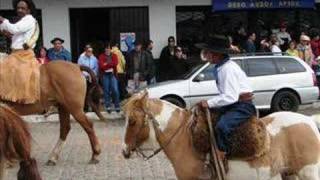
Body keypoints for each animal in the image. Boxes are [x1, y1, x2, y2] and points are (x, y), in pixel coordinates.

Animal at [122, 92, 320, 179]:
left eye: (131, 121)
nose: (124, 150)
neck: (185, 139)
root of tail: (309, 121)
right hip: (290, 173)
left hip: (308, 173)